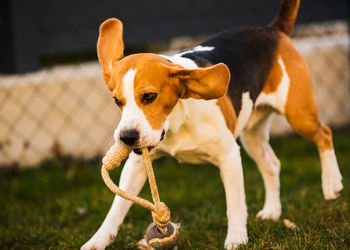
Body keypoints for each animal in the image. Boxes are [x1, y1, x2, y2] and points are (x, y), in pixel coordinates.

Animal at [81, 0, 342, 249]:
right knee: (272, 165)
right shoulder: (137, 164)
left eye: (149, 97)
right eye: (117, 101)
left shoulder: (229, 156)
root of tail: (272, 29)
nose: (126, 137)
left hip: (299, 116)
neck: (177, 122)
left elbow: (235, 203)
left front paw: (236, 239)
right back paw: (272, 211)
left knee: (325, 134)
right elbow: (118, 206)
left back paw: (332, 183)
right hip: (252, 135)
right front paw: (98, 241)